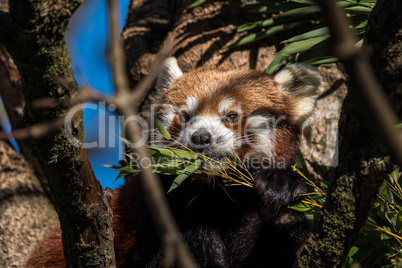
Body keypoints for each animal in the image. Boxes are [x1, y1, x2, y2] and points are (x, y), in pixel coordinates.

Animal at [24, 58, 320, 268]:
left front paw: (280, 189)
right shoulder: (161, 209)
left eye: (232, 116)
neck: (219, 195)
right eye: (185, 116)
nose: (201, 137)